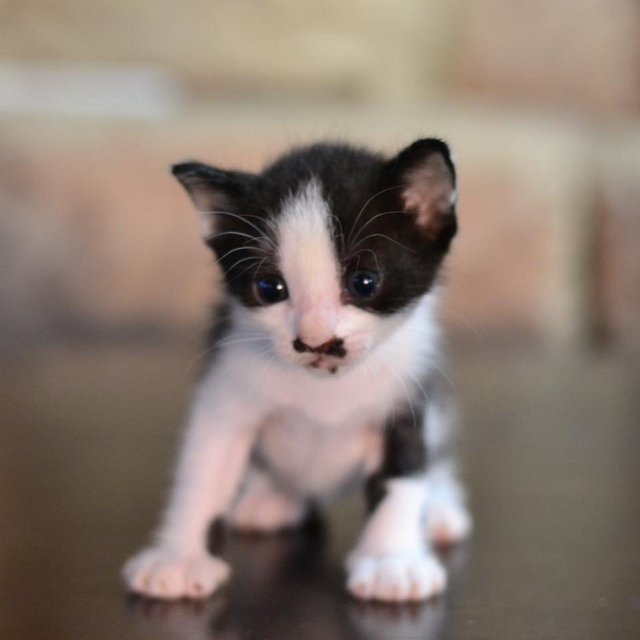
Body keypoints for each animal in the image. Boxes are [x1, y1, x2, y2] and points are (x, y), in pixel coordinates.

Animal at [121, 138, 470, 604]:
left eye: (364, 282)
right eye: (270, 288)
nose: (316, 341)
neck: (327, 387)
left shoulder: (410, 393)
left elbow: (403, 475)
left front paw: (392, 563)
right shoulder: (225, 386)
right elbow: (204, 471)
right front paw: (179, 558)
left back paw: (441, 507)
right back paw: (271, 498)